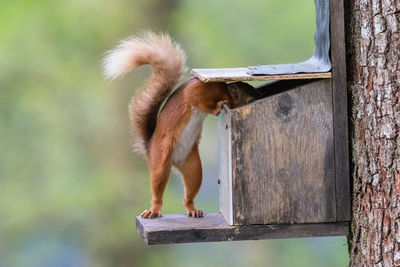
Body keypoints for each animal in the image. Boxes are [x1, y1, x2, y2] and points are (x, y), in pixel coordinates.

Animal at [103, 31, 260, 220]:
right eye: (250, 99)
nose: (257, 100)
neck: (227, 91)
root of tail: (150, 147)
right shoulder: (201, 91)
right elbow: (197, 100)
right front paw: (218, 107)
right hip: (160, 161)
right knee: (157, 189)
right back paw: (153, 210)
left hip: (193, 168)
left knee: (189, 193)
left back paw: (193, 210)